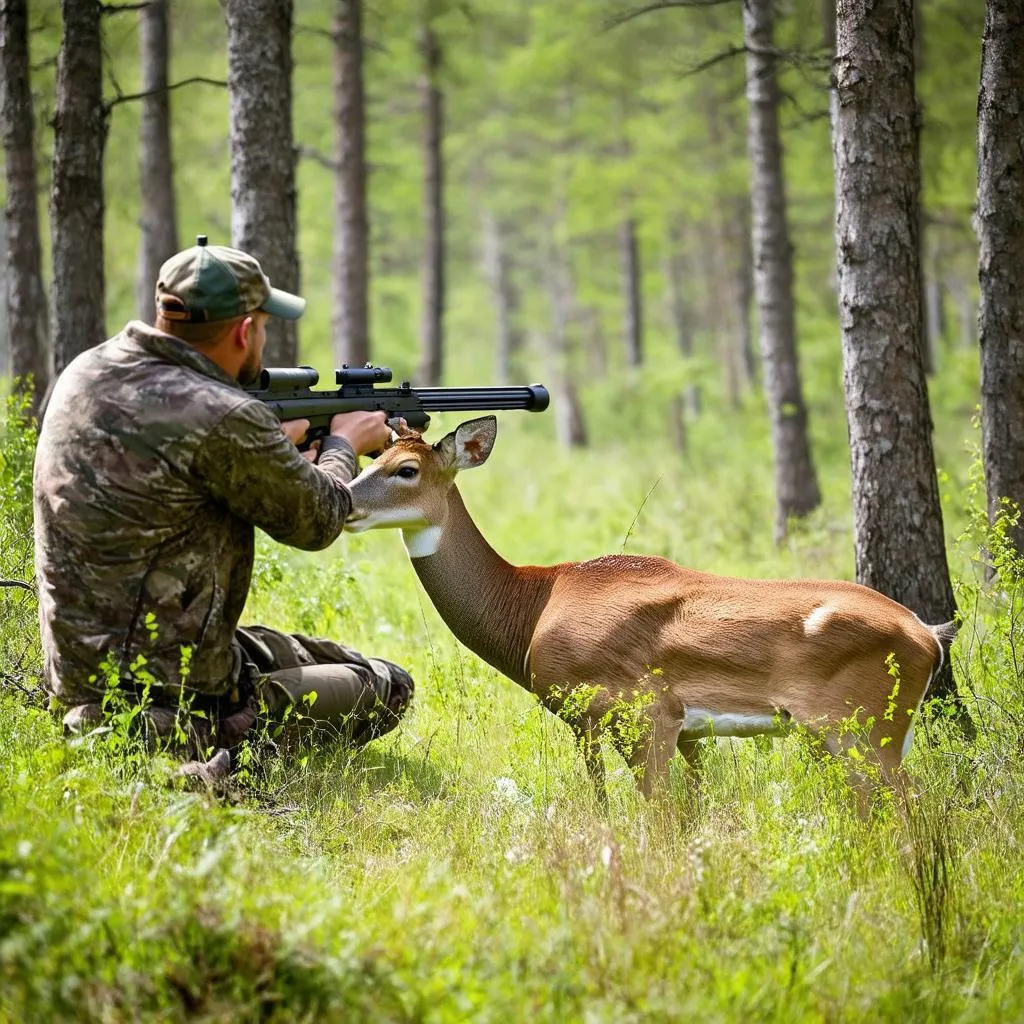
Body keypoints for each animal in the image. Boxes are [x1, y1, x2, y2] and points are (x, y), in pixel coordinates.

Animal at [344, 415, 958, 806]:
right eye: (375, 458)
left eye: (406, 469)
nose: (344, 501)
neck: (531, 605)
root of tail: (929, 635)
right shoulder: (657, 730)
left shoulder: (644, 711)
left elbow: (655, 816)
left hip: (861, 727)